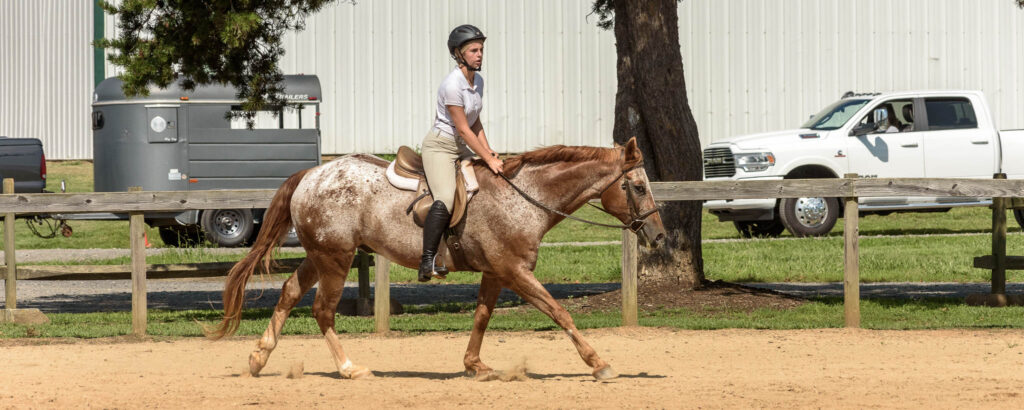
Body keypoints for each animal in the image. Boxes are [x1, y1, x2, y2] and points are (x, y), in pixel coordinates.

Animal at [208, 137, 667, 381]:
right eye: (638, 187)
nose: (660, 237)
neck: (524, 197)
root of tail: (312, 174)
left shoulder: (496, 273)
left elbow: (481, 317)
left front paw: (474, 365)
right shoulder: (515, 272)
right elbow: (560, 313)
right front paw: (599, 363)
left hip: (320, 256)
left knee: (288, 294)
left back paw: (258, 357)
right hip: (335, 259)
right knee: (322, 310)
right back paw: (350, 368)